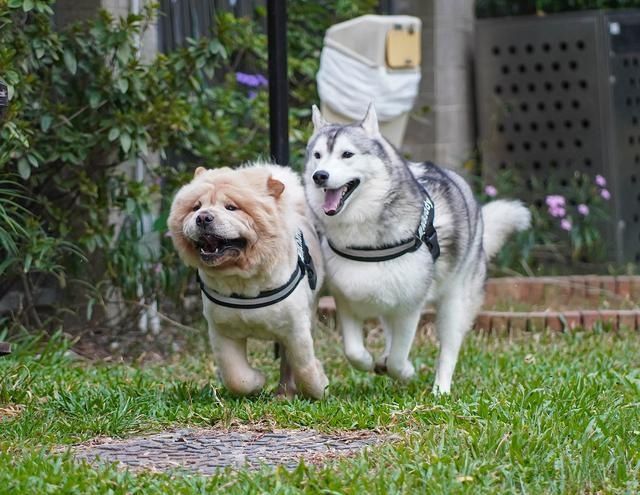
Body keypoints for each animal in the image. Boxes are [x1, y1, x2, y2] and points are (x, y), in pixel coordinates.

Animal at [169, 165, 328, 402]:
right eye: (196, 207)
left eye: (231, 207)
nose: (203, 217)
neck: (242, 280)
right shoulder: (222, 331)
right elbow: (236, 376)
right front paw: (257, 382)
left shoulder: (295, 329)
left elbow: (304, 366)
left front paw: (320, 386)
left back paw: (285, 393)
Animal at [304, 105, 528, 396]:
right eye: (317, 155)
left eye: (347, 154)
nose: (319, 176)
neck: (364, 237)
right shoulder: (346, 299)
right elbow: (353, 351)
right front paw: (369, 361)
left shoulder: (410, 308)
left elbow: (399, 358)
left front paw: (405, 372)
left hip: (454, 304)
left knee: (449, 349)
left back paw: (441, 389)